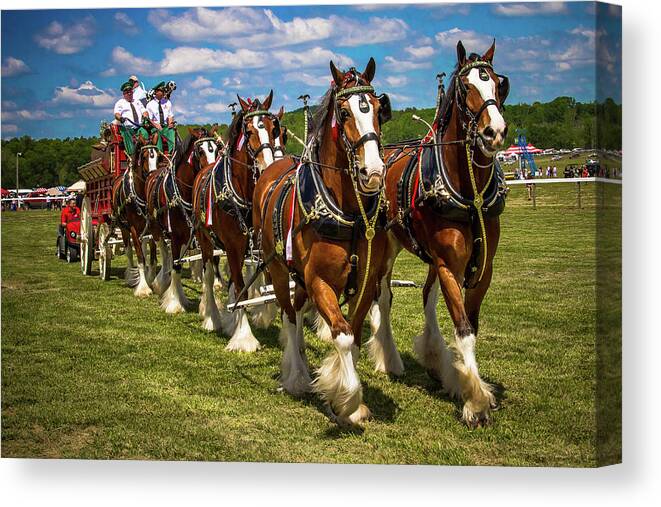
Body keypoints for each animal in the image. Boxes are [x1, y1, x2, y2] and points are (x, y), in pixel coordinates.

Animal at [109, 133, 164, 298]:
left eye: (158, 157)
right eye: (144, 156)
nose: (153, 176)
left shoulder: (152, 228)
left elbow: (151, 258)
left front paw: (151, 280)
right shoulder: (133, 228)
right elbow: (140, 258)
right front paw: (143, 288)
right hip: (123, 227)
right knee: (128, 251)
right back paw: (130, 275)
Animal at [146, 126, 218, 314]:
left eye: (216, 149)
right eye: (200, 151)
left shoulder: (195, 233)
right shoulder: (176, 235)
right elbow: (176, 265)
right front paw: (175, 302)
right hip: (156, 228)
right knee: (164, 253)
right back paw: (161, 281)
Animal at [189, 91, 284, 352]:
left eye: (274, 128)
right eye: (249, 131)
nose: (268, 167)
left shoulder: (257, 245)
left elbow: (252, 284)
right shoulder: (233, 246)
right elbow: (239, 284)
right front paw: (243, 337)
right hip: (205, 240)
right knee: (209, 274)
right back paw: (211, 316)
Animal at [250, 57, 390, 426]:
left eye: (379, 109)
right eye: (344, 113)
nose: (374, 171)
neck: (348, 213)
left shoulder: (366, 281)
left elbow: (353, 335)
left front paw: (348, 397)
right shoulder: (319, 281)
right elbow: (341, 335)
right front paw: (348, 402)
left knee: (298, 312)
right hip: (277, 268)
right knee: (288, 313)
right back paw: (296, 375)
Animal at [374, 40, 508, 428]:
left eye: (499, 83)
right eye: (465, 88)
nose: (495, 132)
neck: (470, 193)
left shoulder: (482, 268)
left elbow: (471, 324)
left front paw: (461, 379)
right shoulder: (450, 264)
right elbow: (463, 329)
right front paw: (476, 402)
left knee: (427, 296)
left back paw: (436, 360)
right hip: (384, 248)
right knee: (383, 297)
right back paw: (389, 359)